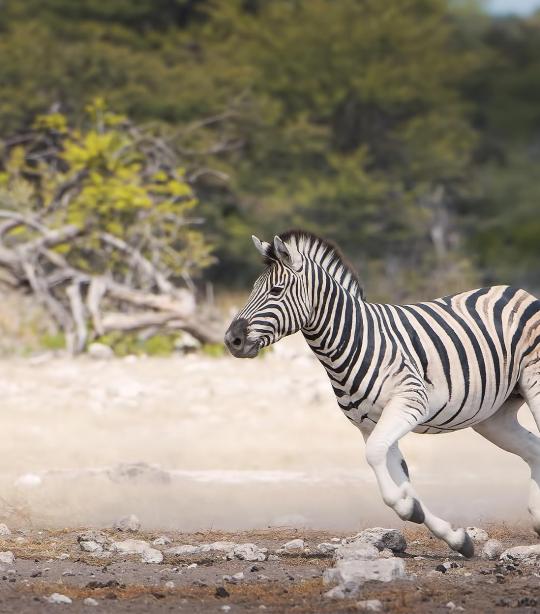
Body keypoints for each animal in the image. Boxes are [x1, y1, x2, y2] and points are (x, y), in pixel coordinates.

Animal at [224, 230, 540, 560]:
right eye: (253, 289)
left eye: (276, 290)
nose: (232, 340)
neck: (352, 340)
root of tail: (516, 290)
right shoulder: (369, 424)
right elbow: (397, 472)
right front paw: (453, 536)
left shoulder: (409, 402)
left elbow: (375, 456)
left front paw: (407, 507)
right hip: (493, 417)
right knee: (533, 448)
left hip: (533, 383)